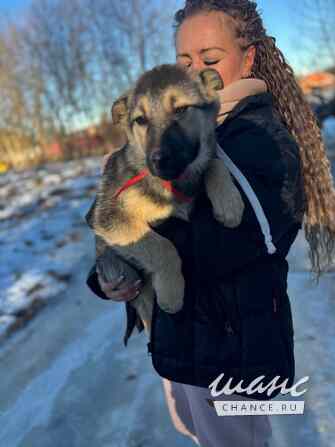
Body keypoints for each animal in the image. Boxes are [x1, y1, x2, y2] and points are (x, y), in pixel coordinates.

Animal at [86, 62, 244, 336]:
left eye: (181, 110)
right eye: (140, 120)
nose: (158, 160)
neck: (173, 184)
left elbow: (214, 164)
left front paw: (230, 204)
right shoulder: (110, 218)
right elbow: (162, 246)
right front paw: (172, 294)